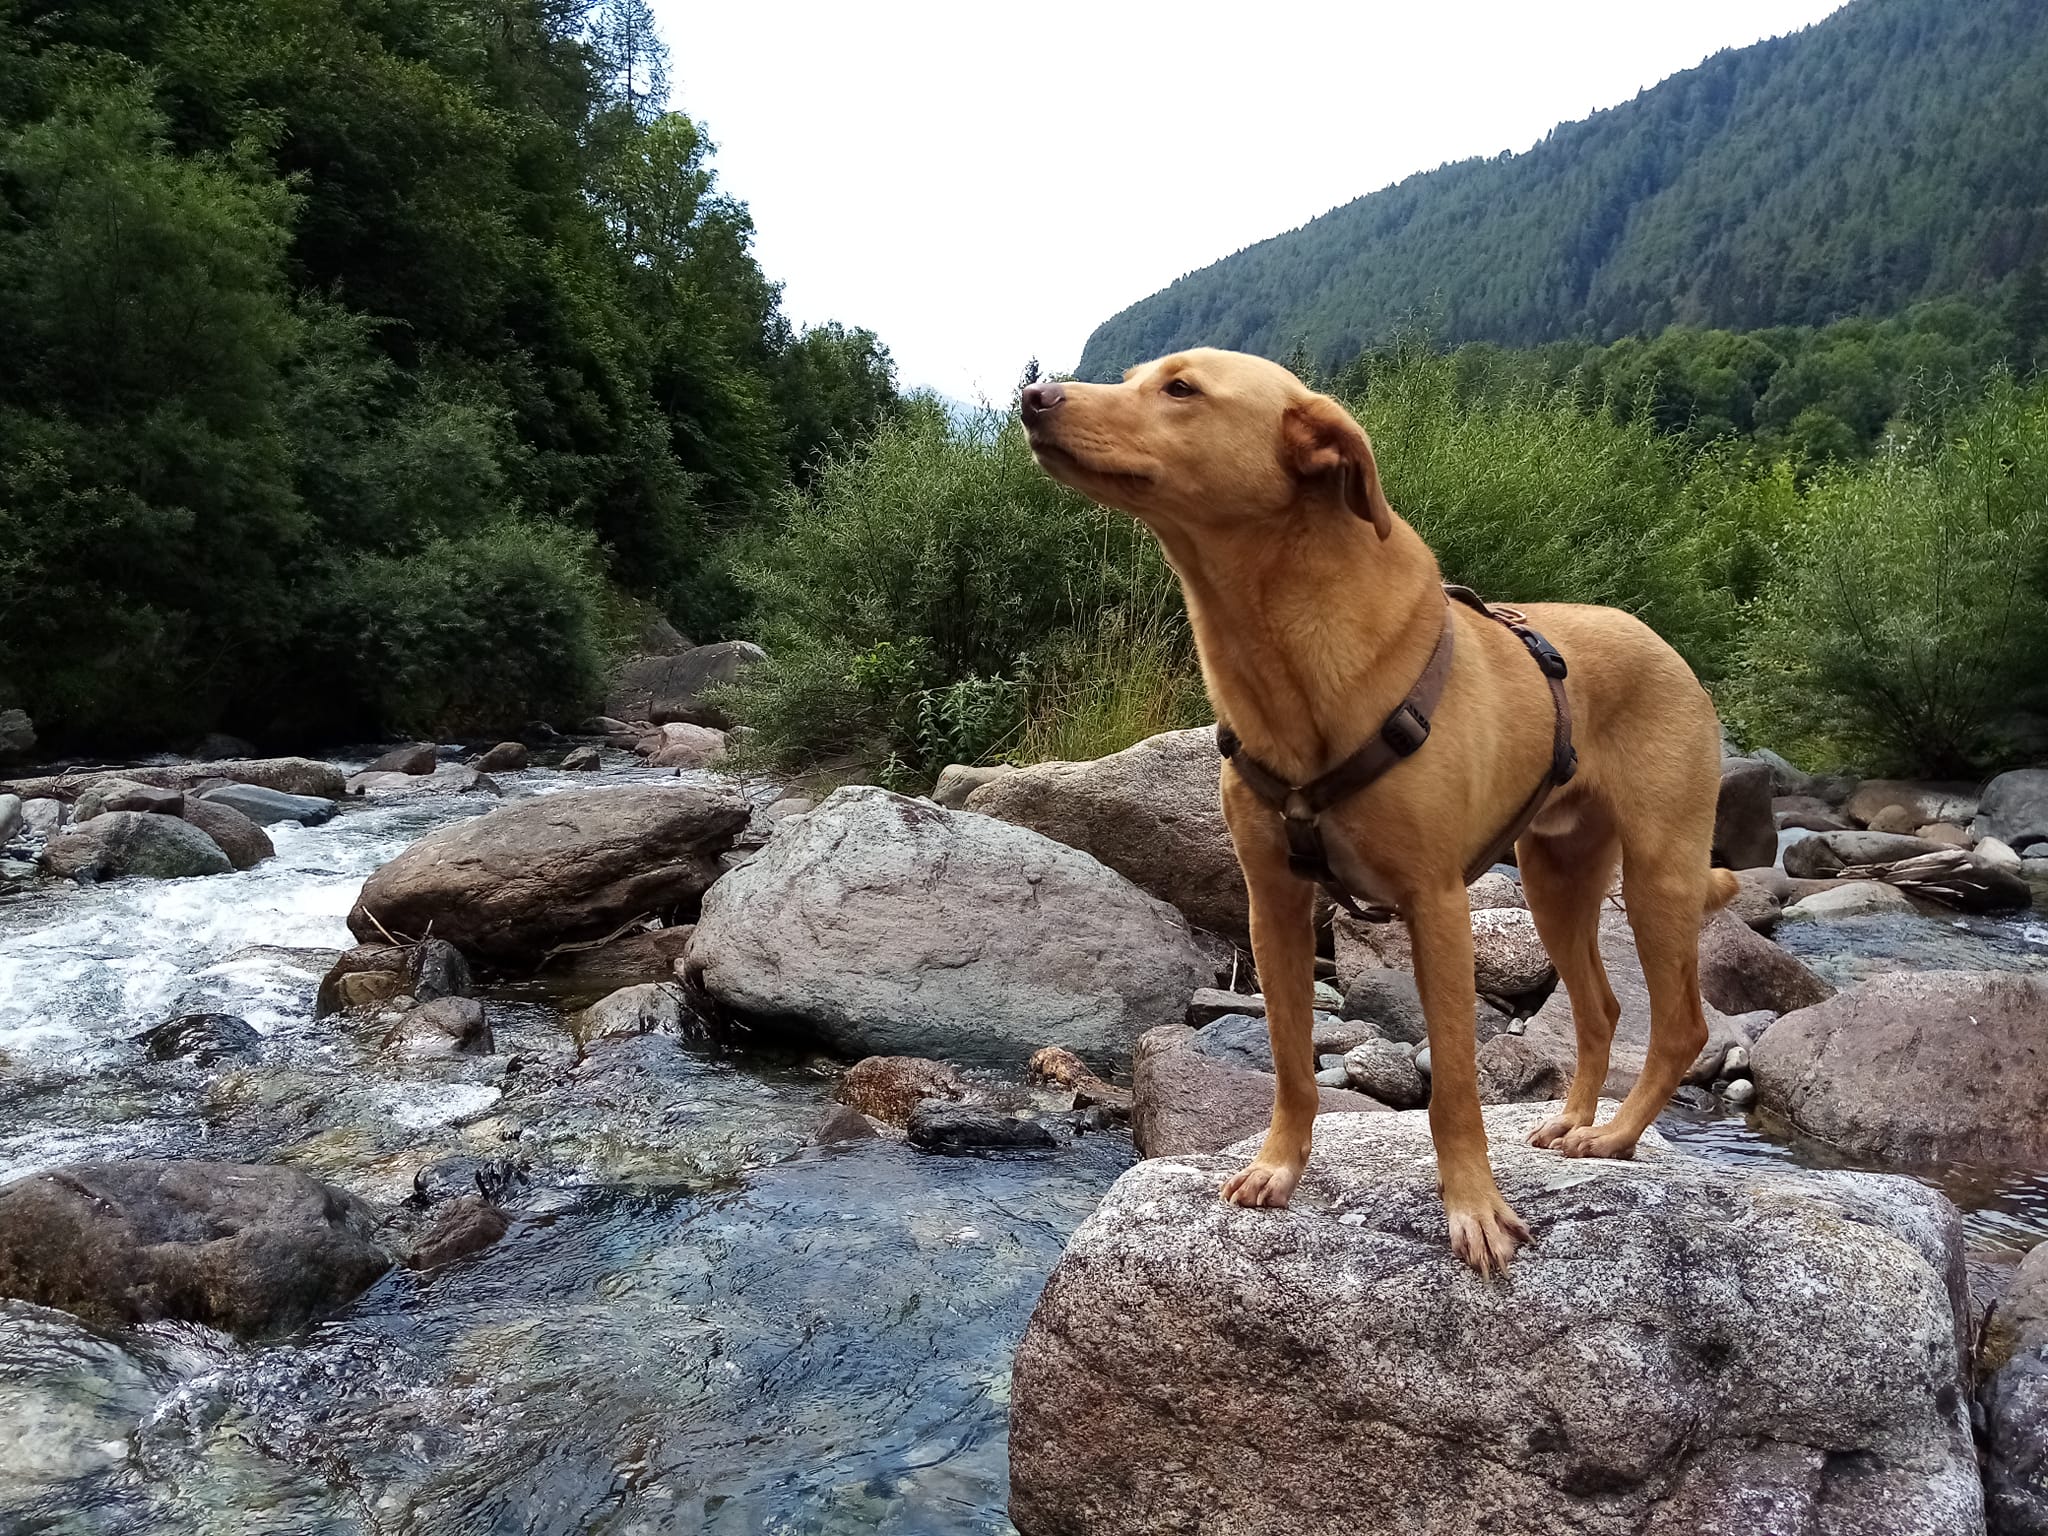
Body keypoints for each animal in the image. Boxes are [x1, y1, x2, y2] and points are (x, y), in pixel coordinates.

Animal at [1019, 348, 1728, 1277]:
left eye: (1180, 388)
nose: (1033, 396)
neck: (1284, 649)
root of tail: (1659, 640)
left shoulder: (1438, 905)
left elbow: (1455, 1086)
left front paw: (1474, 1211)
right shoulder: (1273, 902)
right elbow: (1291, 1062)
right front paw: (1278, 1168)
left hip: (1659, 874)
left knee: (1680, 1025)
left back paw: (1612, 1138)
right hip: (1555, 878)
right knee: (1602, 1009)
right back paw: (1576, 1120)